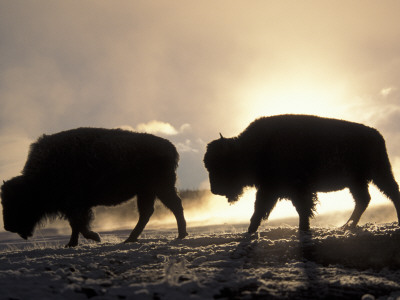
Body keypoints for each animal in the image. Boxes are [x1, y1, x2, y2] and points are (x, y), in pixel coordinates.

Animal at [0, 126, 188, 246]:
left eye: (18, 202)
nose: (8, 226)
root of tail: (170, 147)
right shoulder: (73, 207)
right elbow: (75, 225)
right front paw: (71, 244)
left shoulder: (76, 205)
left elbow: (80, 224)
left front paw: (95, 237)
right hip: (147, 191)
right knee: (148, 213)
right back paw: (131, 239)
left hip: (160, 188)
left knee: (173, 207)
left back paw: (179, 235)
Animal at [205, 113, 400, 233]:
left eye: (221, 165)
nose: (214, 190)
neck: (253, 148)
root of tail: (376, 135)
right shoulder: (270, 189)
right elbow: (259, 210)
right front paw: (250, 231)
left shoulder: (295, 190)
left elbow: (301, 209)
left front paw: (303, 228)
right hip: (358, 181)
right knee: (364, 199)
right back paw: (348, 225)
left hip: (378, 173)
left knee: (390, 193)